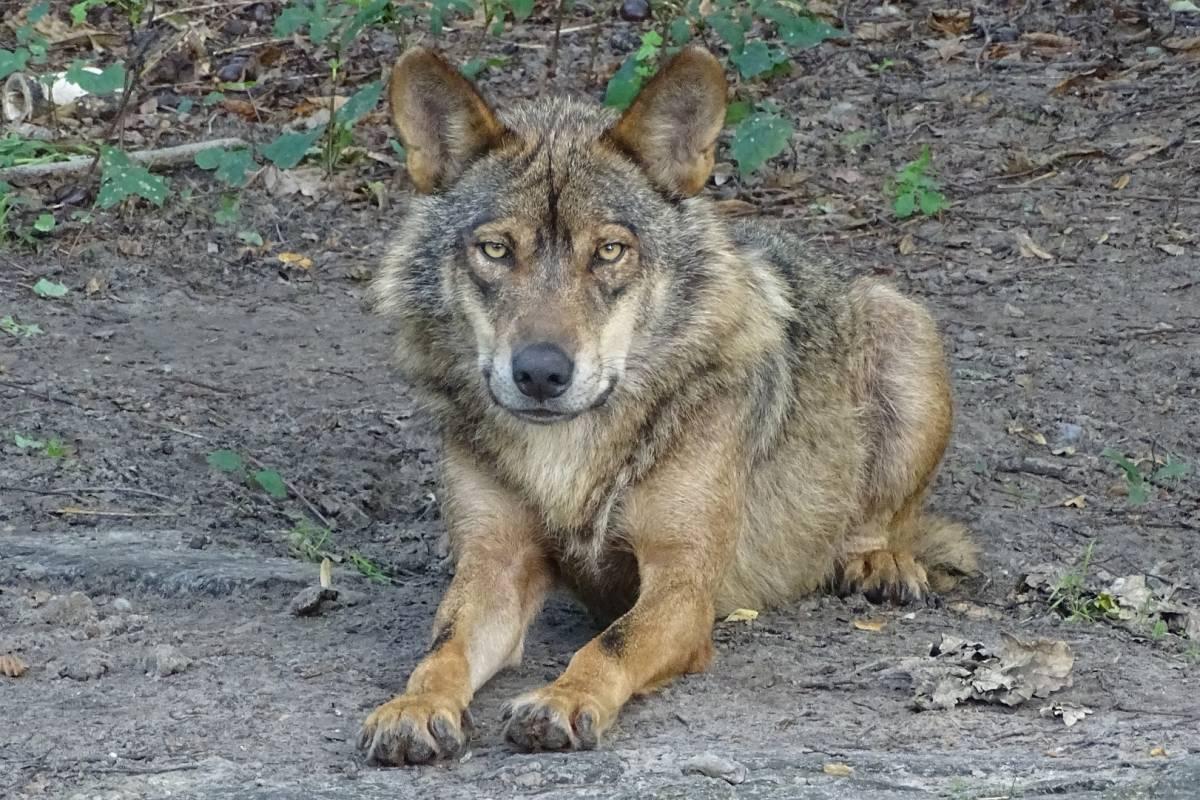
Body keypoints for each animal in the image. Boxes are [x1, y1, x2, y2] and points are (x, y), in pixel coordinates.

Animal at [357, 42, 974, 762]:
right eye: (496, 249)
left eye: (609, 251)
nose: (540, 373)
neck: (569, 454)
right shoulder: (494, 567)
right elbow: (443, 648)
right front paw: (414, 706)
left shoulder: (682, 583)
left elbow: (609, 645)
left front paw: (563, 700)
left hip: (903, 325)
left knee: (883, 520)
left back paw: (877, 561)